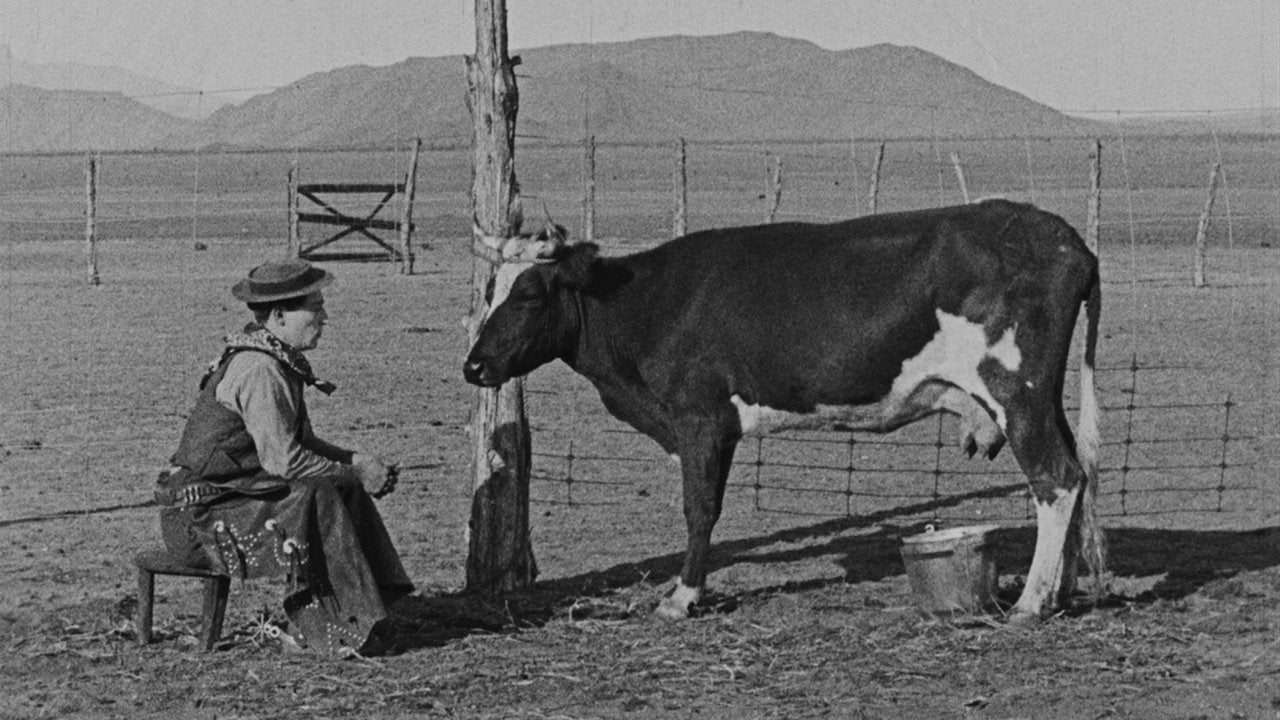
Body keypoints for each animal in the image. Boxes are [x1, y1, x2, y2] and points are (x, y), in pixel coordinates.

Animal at [464, 199, 1103, 624]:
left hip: (1016, 391)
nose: (473, 367)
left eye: (528, 294)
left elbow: (700, 509)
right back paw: (1061, 589)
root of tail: (1062, 235)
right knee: (1077, 474)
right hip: (1043, 397)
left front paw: (681, 598)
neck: (645, 303)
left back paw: (1031, 604)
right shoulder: (719, 428)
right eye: (488, 290)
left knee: (1056, 478)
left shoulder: (699, 419)